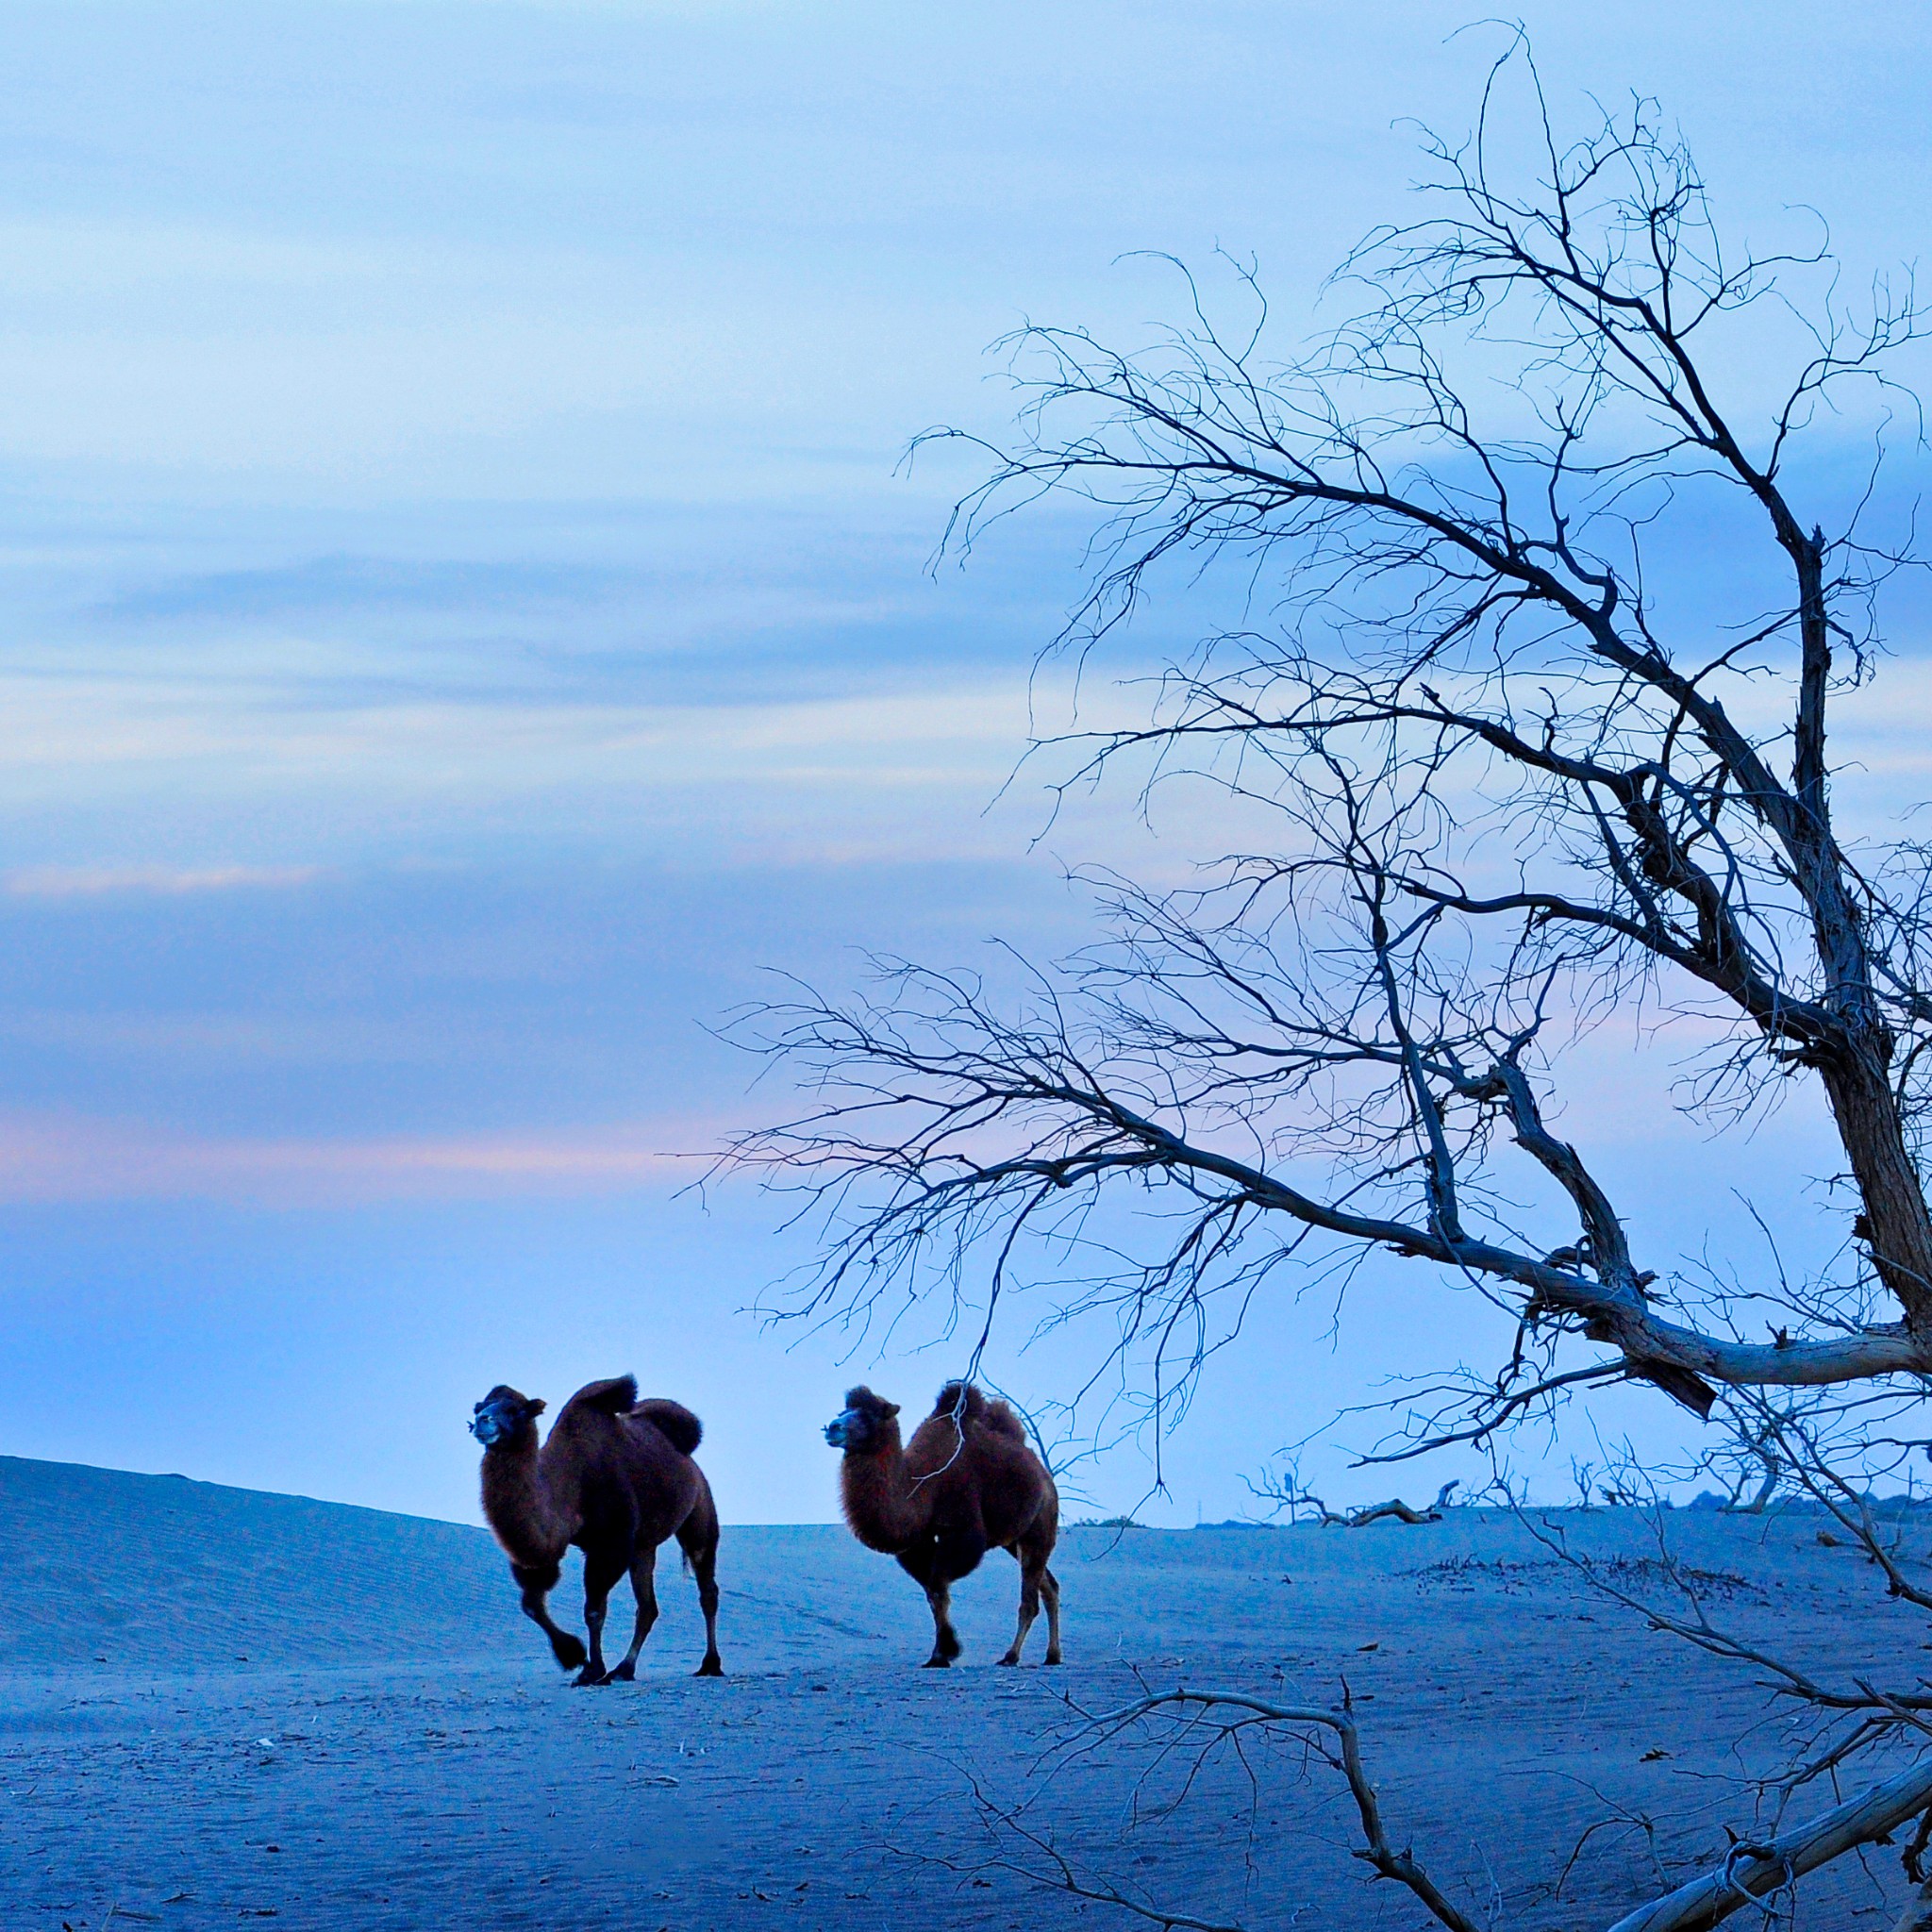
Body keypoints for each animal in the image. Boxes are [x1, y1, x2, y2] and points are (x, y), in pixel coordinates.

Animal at [469, 1375, 726, 1676]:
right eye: (479, 1406)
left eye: (513, 1410)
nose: (481, 1421)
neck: (570, 1484)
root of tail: (693, 1466)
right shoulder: (544, 1548)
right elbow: (532, 1604)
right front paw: (572, 1655)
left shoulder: (610, 1542)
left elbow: (593, 1610)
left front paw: (592, 1670)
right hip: (643, 1545)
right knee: (647, 1607)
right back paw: (625, 1669)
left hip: (700, 1511)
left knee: (707, 1589)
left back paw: (710, 1664)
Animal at [815, 1383, 1058, 1669]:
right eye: (842, 1411)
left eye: (871, 1414)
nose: (833, 1427)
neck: (920, 1487)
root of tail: (1044, 1476)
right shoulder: (915, 1544)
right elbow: (932, 1592)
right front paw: (943, 1650)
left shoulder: (961, 1531)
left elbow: (938, 1586)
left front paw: (944, 1653)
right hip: (1013, 1541)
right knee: (1049, 1585)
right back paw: (1053, 1656)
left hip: (1040, 1527)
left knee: (1030, 1598)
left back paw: (1011, 1656)